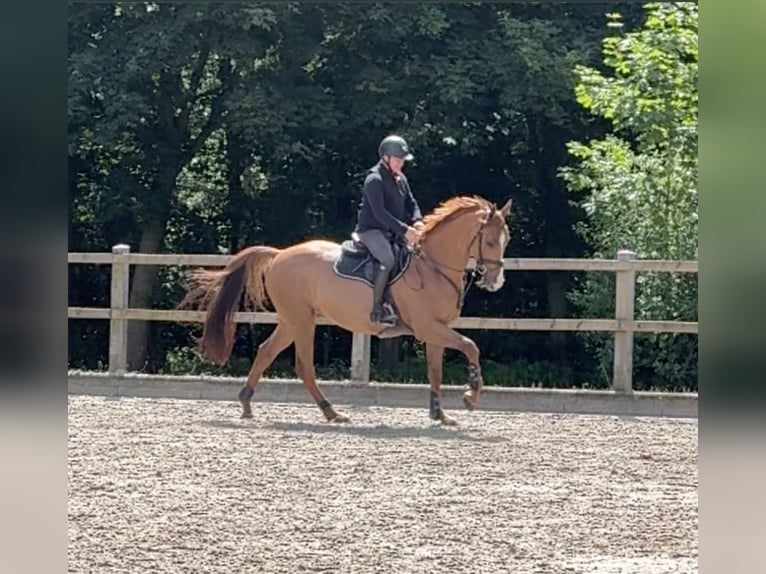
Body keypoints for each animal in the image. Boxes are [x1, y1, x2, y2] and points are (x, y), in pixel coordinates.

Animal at [181, 196, 512, 426]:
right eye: (490, 241)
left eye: (506, 240)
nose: (496, 282)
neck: (432, 267)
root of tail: (279, 254)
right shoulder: (428, 327)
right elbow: (471, 346)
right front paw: (471, 395)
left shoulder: (435, 330)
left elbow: (435, 370)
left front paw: (440, 414)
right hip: (302, 321)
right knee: (303, 365)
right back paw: (331, 412)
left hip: (291, 320)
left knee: (265, 352)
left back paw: (248, 405)